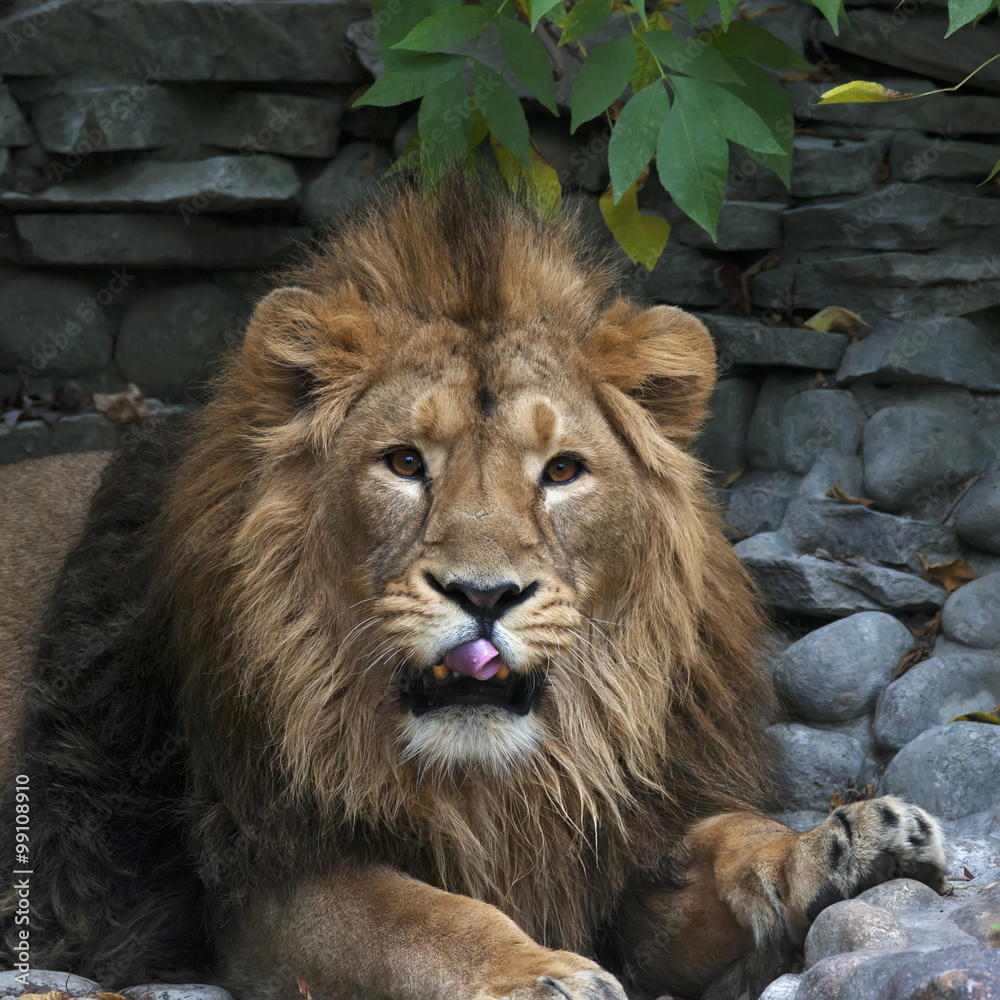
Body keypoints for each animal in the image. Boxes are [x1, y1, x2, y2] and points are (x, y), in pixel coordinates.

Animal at [0, 178, 946, 1000]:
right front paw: (540, 974)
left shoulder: (612, 845)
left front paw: (841, 846)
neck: (492, 789)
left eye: (562, 471)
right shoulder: (259, 875)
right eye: (404, 463)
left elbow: (723, 841)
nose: (484, 595)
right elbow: (418, 917)